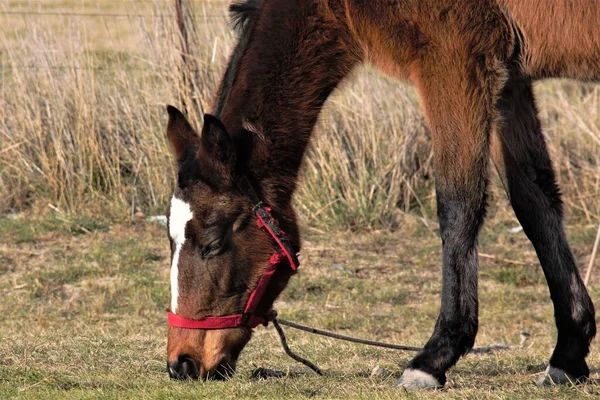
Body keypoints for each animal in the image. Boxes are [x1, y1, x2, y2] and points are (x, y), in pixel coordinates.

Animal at [162, 0, 596, 390]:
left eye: (212, 243)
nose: (181, 363)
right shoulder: (510, 82)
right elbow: (535, 202)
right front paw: (568, 355)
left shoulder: (455, 65)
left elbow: (457, 207)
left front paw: (433, 358)